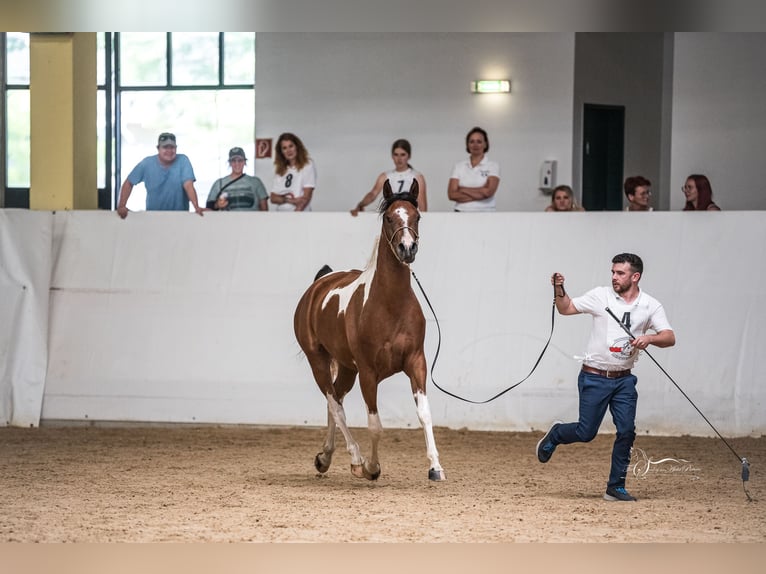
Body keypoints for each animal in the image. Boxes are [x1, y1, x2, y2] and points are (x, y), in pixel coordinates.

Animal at [296, 180, 450, 482]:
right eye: (389, 217)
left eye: (417, 216)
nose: (407, 248)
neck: (390, 304)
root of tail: (319, 284)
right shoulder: (368, 372)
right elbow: (375, 424)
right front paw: (371, 467)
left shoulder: (417, 362)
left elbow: (424, 414)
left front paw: (436, 467)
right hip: (318, 360)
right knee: (335, 405)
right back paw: (355, 459)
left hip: (346, 367)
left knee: (336, 400)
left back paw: (325, 457)